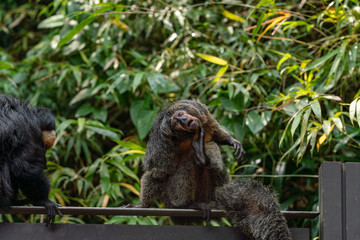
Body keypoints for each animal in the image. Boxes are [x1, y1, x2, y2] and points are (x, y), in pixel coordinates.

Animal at [139, 100, 292, 240]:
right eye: (176, 122)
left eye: (180, 114)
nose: (183, 120)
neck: (188, 137)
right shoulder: (163, 145)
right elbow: (158, 173)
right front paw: (143, 205)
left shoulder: (201, 111)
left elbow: (215, 132)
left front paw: (230, 140)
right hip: (170, 197)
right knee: (187, 163)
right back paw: (187, 204)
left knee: (210, 147)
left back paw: (203, 158)